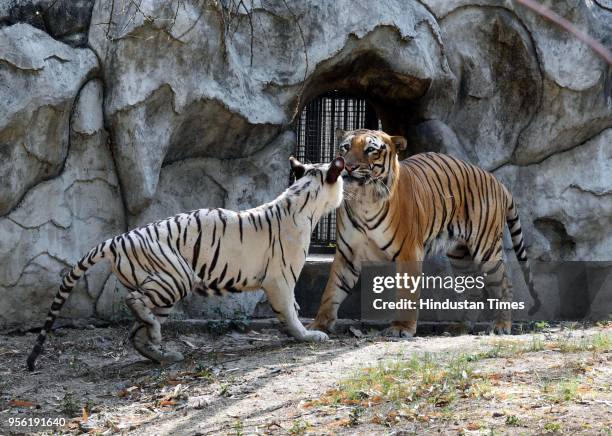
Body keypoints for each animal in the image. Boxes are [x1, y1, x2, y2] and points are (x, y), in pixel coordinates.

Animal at [27, 155, 344, 370]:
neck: (303, 195)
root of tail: (118, 239)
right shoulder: (280, 279)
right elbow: (289, 310)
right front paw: (308, 335)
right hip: (175, 278)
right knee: (134, 302)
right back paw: (158, 338)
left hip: (164, 290)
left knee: (136, 333)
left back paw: (164, 352)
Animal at [310, 127, 540, 336]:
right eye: (345, 147)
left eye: (370, 150)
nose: (347, 166)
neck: (364, 198)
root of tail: (497, 181)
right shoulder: (347, 254)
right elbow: (331, 291)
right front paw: (319, 325)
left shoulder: (408, 253)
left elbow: (406, 294)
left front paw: (401, 328)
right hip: (460, 255)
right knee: (474, 289)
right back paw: (461, 327)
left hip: (486, 248)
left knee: (505, 284)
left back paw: (501, 326)